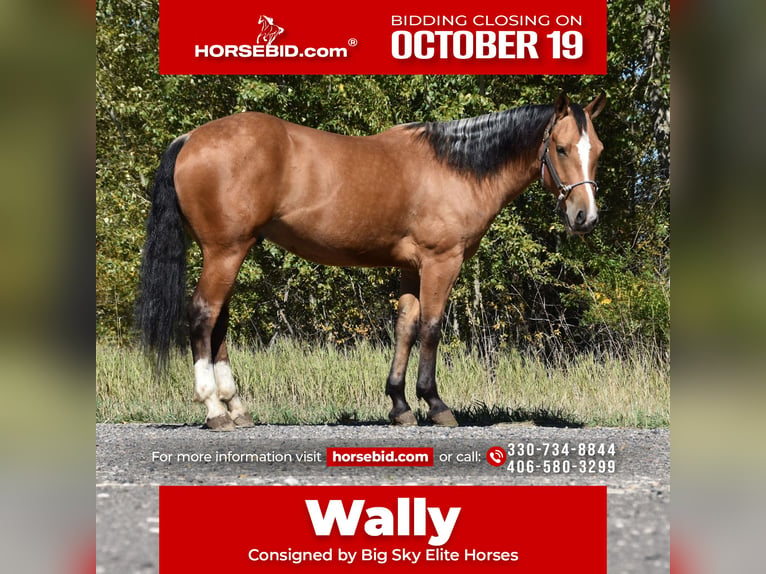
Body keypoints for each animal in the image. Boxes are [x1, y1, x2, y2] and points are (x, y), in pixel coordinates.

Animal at [136, 92, 606, 430]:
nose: (585, 217)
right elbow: (431, 328)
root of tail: (191, 139)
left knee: (219, 324)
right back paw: (215, 410)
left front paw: (400, 406)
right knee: (203, 316)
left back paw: (237, 409)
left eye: (597, 150)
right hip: (225, 252)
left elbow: (405, 329)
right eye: (561, 148)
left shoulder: (410, 268)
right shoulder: (441, 262)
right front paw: (435, 405)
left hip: (229, 252)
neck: (457, 168)